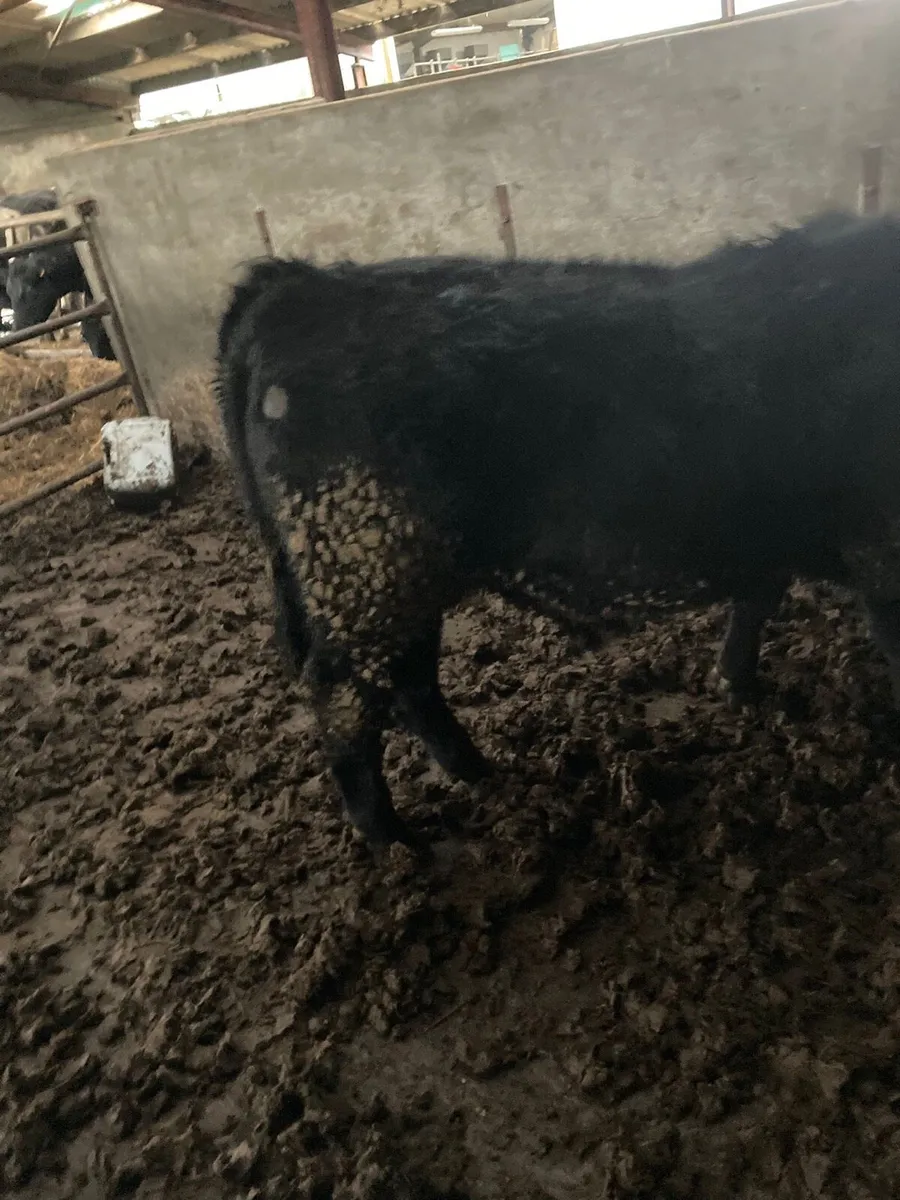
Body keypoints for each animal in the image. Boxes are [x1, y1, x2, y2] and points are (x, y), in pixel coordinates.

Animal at [214, 213, 900, 849]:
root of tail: (304, 284)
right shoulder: (879, 555)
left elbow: (759, 593)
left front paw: (736, 684)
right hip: (366, 566)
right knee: (346, 699)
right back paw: (398, 846)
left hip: (397, 578)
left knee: (410, 680)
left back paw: (476, 772)